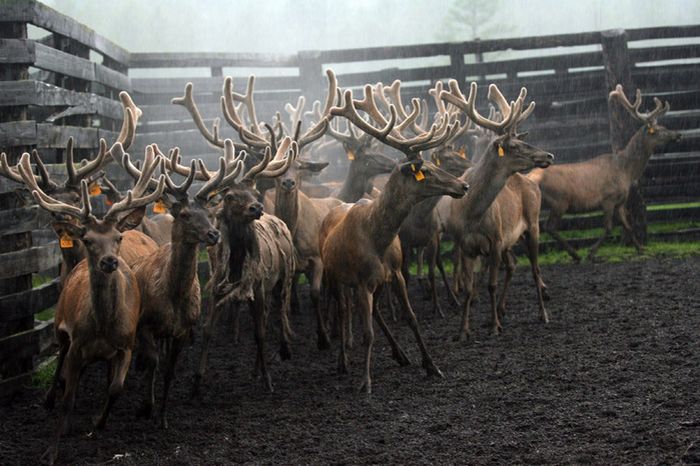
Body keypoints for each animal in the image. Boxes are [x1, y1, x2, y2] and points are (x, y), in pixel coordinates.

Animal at [15, 151, 166, 464]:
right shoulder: (76, 345)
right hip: (60, 326)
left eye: (118, 238)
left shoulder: (126, 345)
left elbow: (115, 388)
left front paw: (98, 422)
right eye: (88, 240)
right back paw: (51, 399)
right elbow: (68, 396)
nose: (109, 261)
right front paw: (52, 450)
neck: (103, 327)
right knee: (61, 359)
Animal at [110, 144, 220, 428]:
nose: (214, 234)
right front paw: (145, 407)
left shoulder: (182, 330)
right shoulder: (146, 325)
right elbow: (153, 363)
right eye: (185, 214)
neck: (174, 296)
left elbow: (169, 371)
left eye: (209, 214)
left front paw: (162, 417)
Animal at [322, 81, 470, 394]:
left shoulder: (394, 274)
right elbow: (366, 333)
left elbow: (411, 318)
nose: (463, 185)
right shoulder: (361, 281)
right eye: (424, 171)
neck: (377, 239)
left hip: (376, 283)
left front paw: (431, 365)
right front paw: (365, 382)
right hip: (336, 276)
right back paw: (342, 362)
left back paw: (400, 354)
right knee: (342, 312)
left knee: (375, 311)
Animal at [442, 80, 552, 340]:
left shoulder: (495, 239)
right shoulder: (466, 245)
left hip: (533, 225)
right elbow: (469, 289)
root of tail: (530, 181)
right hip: (512, 239)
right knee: (513, 264)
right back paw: (502, 310)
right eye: (514, 146)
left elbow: (491, 284)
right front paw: (463, 331)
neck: (471, 215)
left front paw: (494, 326)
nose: (549, 155)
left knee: (535, 269)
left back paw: (542, 314)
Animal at [528, 84, 680, 262]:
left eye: (664, 127)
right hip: (559, 201)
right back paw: (575, 254)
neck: (627, 172)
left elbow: (627, 225)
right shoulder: (608, 198)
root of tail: (530, 177)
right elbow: (608, 227)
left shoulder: (620, 201)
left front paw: (641, 248)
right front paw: (591, 252)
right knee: (549, 227)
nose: (678, 134)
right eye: (658, 130)